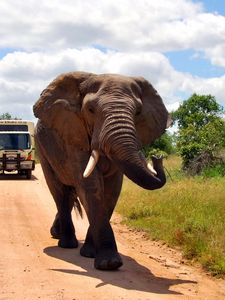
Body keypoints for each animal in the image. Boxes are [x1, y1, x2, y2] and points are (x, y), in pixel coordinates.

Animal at [33, 71, 171, 270]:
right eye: (90, 110)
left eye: (138, 112)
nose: (156, 158)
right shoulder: (74, 135)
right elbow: (91, 186)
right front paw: (109, 264)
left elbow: (112, 190)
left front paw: (91, 254)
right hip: (42, 148)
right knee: (60, 192)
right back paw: (66, 244)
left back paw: (58, 234)